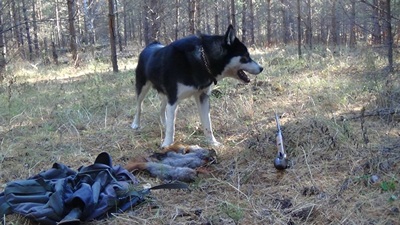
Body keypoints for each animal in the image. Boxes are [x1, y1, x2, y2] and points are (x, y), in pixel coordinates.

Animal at [131, 25, 262, 148]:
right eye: (246, 56)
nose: (262, 68)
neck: (203, 59)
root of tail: (151, 45)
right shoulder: (173, 100)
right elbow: (171, 128)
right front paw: (167, 144)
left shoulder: (202, 97)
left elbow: (208, 124)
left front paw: (212, 143)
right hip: (142, 89)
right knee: (138, 107)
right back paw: (136, 124)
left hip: (165, 95)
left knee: (162, 108)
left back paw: (164, 122)